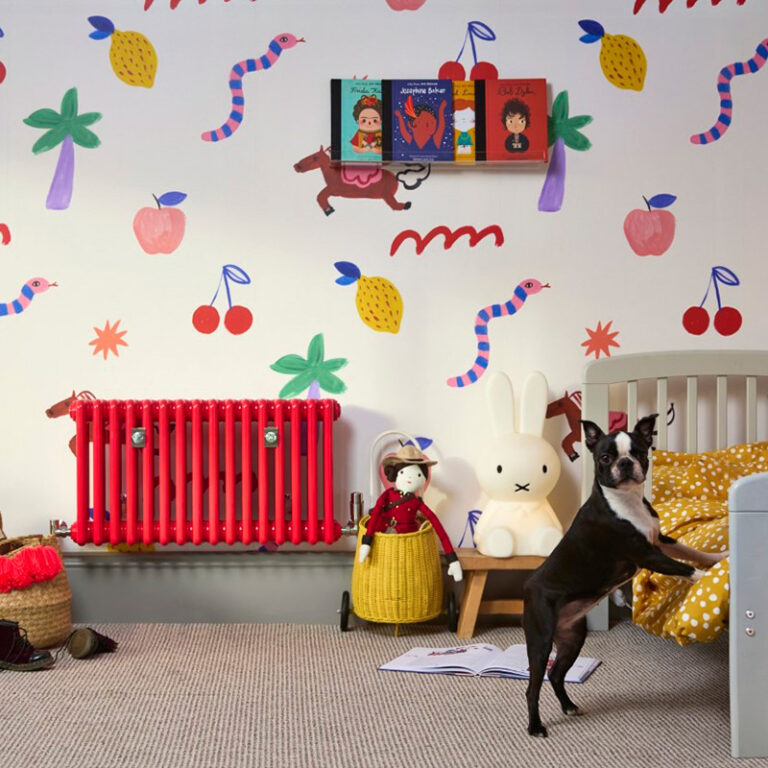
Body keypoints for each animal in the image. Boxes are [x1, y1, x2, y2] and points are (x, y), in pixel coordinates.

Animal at [520, 414, 728, 736]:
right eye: (605, 457)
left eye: (640, 452)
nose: (626, 463)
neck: (627, 502)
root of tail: (529, 584)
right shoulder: (646, 554)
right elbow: (685, 568)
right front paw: (706, 576)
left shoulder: (660, 541)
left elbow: (691, 552)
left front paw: (719, 558)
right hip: (540, 640)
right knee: (533, 686)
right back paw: (536, 726)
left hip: (572, 638)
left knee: (555, 674)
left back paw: (569, 706)